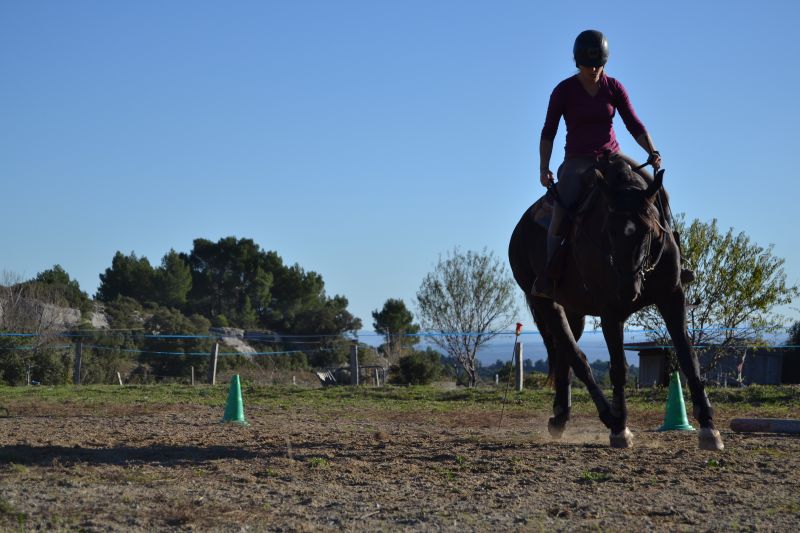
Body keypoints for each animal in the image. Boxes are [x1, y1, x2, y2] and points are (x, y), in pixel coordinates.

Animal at [512, 154, 724, 448]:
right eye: (608, 231)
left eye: (648, 230)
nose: (627, 288)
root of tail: (519, 230)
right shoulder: (610, 311)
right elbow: (618, 368)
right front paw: (621, 427)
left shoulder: (672, 297)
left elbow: (687, 355)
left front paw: (708, 426)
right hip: (546, 303)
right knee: (577, 358)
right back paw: (608, 417)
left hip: (573, 310)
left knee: (565, 355)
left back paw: (560, 417)